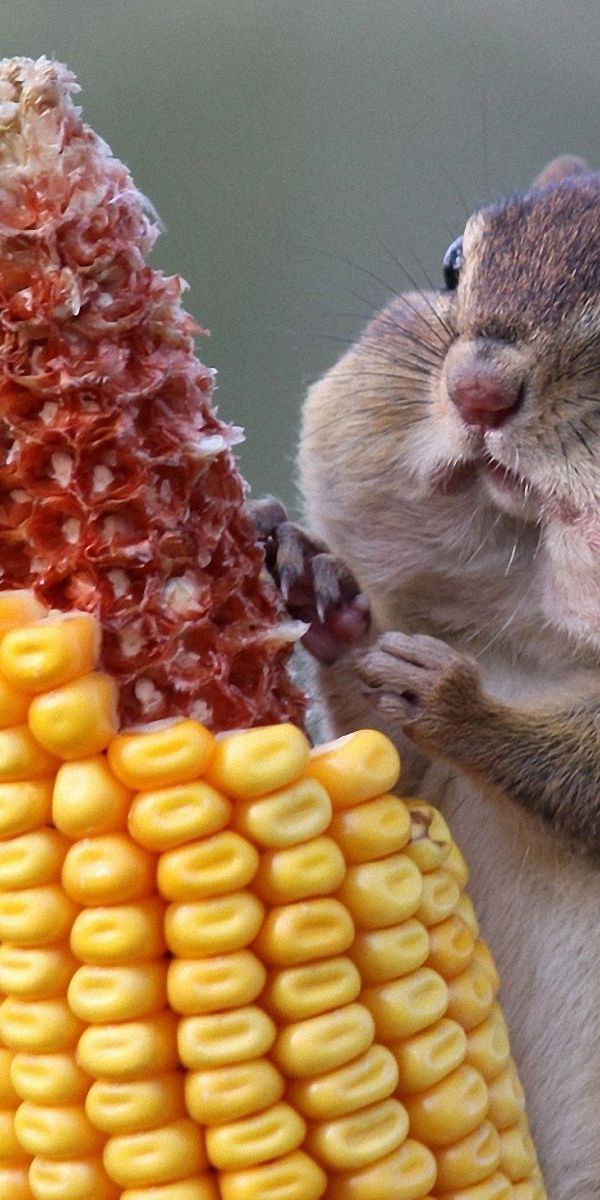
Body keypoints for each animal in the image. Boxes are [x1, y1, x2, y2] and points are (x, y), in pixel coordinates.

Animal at [249, 156, 600, 1198]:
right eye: (453, 264)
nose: (478, 388)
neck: (538, 645)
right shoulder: (408, 791)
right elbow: (378, 773)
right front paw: (318, 583)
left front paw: (457, 701)